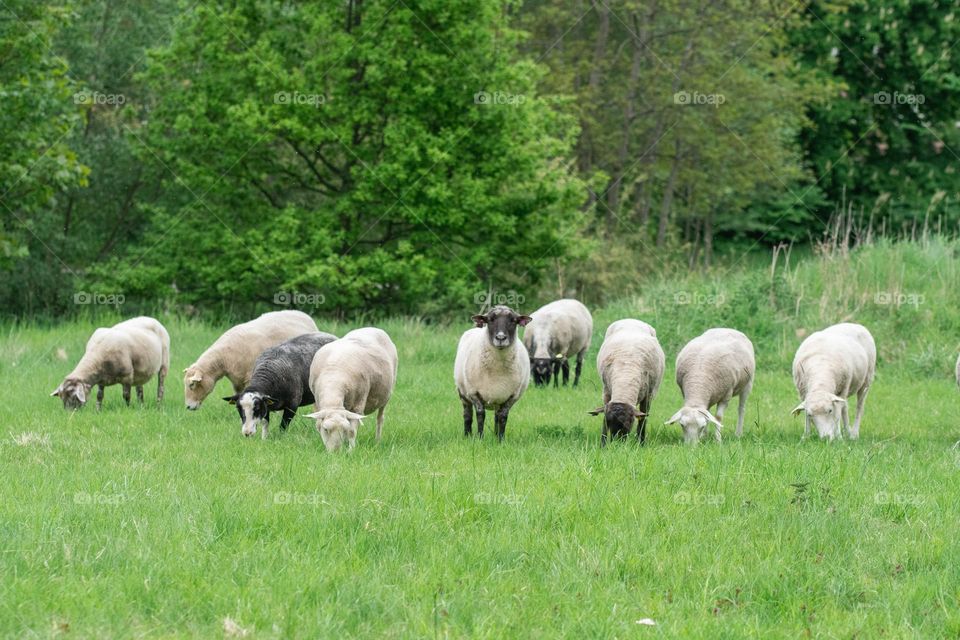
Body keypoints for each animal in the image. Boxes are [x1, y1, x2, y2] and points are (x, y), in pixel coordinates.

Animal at [456, 304, 532, 440]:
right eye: (490, 320)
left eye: (513, 320)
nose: (500, 338)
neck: (497, 371)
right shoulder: (474, 392)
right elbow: (480, 415)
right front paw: (480, 438)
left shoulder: (512, 396)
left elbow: (503, 417)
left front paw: (500, 439)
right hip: (463, 393)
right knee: (467, 415)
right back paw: (467, 435)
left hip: (498, 398)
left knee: (497, 416)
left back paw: (495, 435)